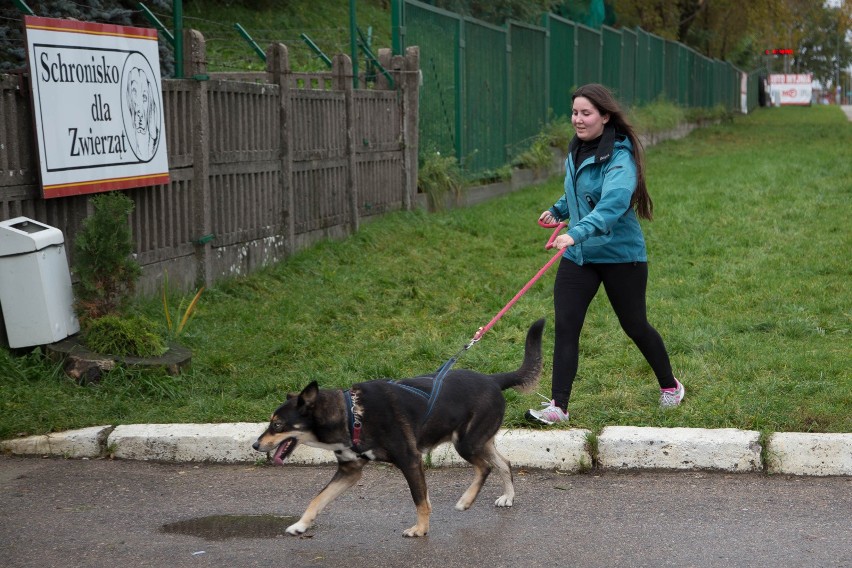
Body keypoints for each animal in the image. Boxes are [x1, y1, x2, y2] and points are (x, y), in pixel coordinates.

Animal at [253, 320, 544, 536]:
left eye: (277, 424)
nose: (256, 445)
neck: (351, 414)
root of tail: (494, 380)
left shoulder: (410, 460)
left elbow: (419, 500)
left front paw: (420, 529)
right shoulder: (349, 470)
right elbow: (318, 498)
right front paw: (301, 524)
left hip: (467, 442)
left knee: (484, 467)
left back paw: (466, 500)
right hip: (480, 440)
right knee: (503, 463)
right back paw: (507, 496)